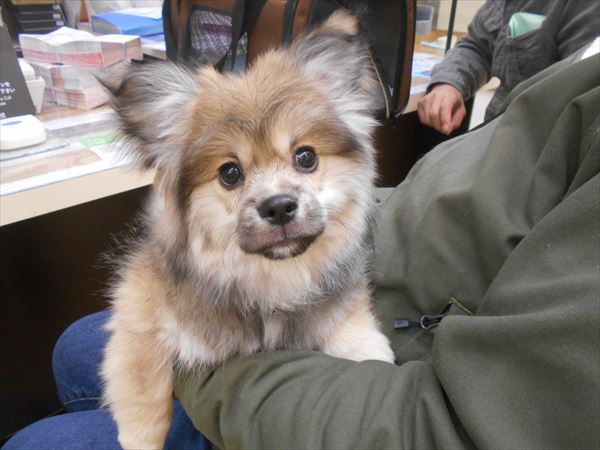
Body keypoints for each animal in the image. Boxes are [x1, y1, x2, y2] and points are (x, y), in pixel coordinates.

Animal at [101, 10, 395, 449]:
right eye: (230, 173)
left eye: (305, 157)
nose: (279, 207)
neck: (272, 279)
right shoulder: (138, 305)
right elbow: (143, 385)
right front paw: (139, 438)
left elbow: (353, 327)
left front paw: (372, 354)